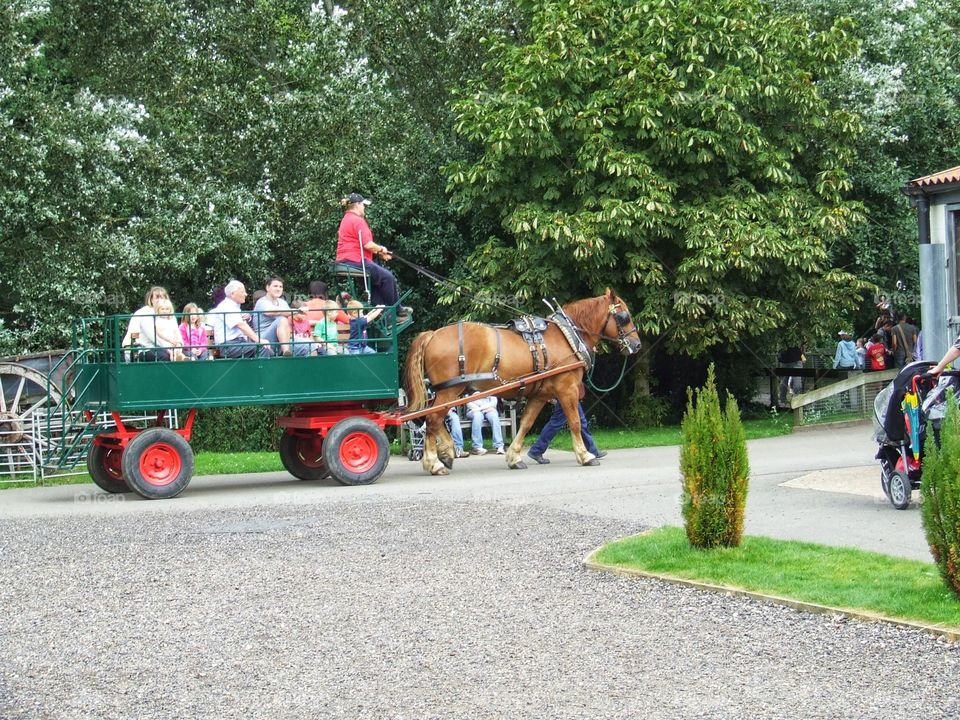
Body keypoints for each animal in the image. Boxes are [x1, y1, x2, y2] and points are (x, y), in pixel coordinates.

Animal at [402, 289, 641, 475]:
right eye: (624, 316)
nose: (637, 345)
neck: (568, 336)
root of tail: (432, 335)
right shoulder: (568, 389)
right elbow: (574, 421)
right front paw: (586, 455)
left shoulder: (540, 395)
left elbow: (526, 424)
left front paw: (514, 457)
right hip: (449, 391)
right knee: (433, 420)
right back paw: (434, 462)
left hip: (449, 392)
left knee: (432, 420)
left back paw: (447, 452)